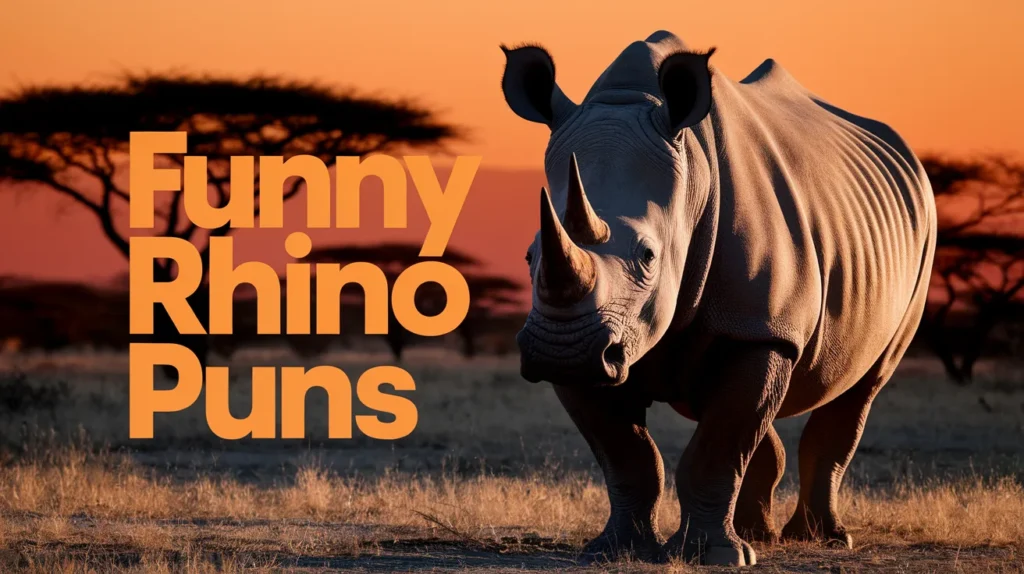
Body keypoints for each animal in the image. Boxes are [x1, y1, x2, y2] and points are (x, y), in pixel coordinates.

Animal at [501, 31, 936, 566]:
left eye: (648, 256)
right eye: (529, 255)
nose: (558, 351)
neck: (692, 180)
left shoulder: (759, 327)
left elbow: (717, 448)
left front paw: (716, 557)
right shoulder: (590, 340)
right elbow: (628, 455)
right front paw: (615, 551)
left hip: (923, 236)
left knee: (861, 388)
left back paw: (823, 539)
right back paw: (758, 533)